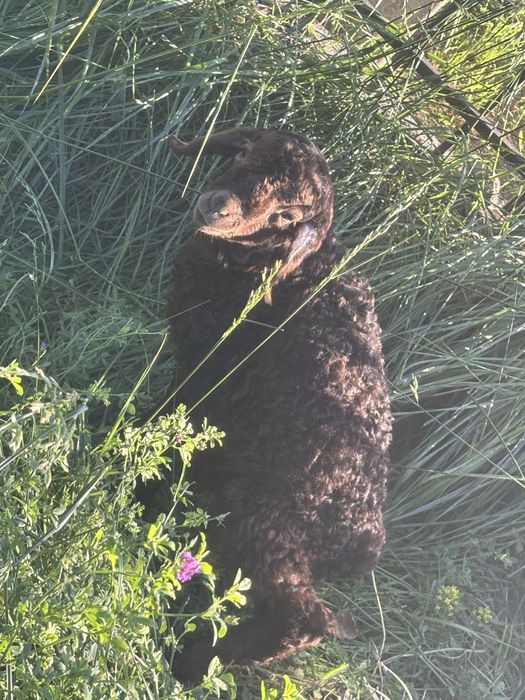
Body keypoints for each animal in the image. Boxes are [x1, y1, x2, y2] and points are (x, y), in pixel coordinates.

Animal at [167, 127, 392, 678]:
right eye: (246, 153)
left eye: (287, 215)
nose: (219, 206)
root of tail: (364, 543)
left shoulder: (205, 373)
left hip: (267, 520)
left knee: (302, 616)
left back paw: (193, 662)